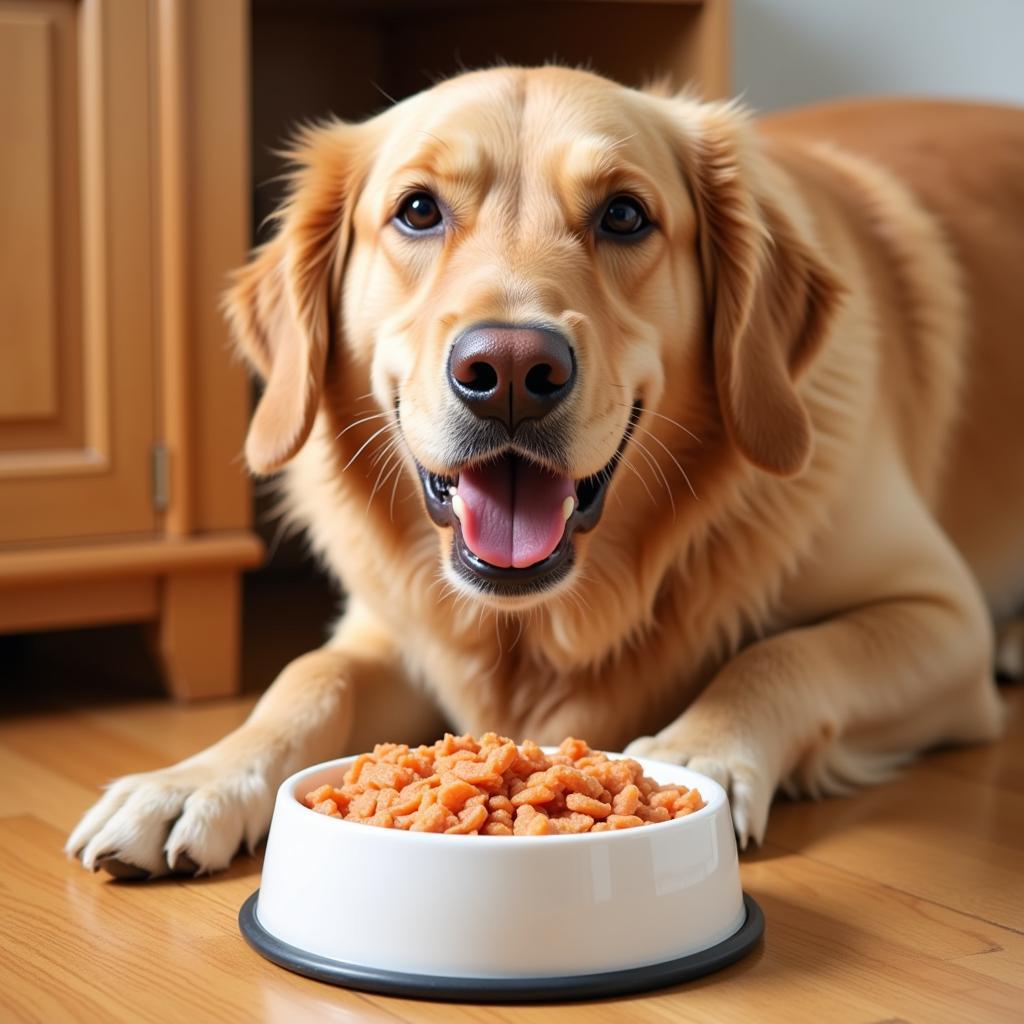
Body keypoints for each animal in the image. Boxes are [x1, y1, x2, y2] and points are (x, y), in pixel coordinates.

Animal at [66, 68, 1015, 876]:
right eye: (417, 210)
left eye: (625, 216)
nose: (512, 372)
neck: (543, 626)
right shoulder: (394, 625)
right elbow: (306, 677)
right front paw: (191, 782)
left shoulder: (940, 615)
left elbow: (780, 654)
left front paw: (697, 753)